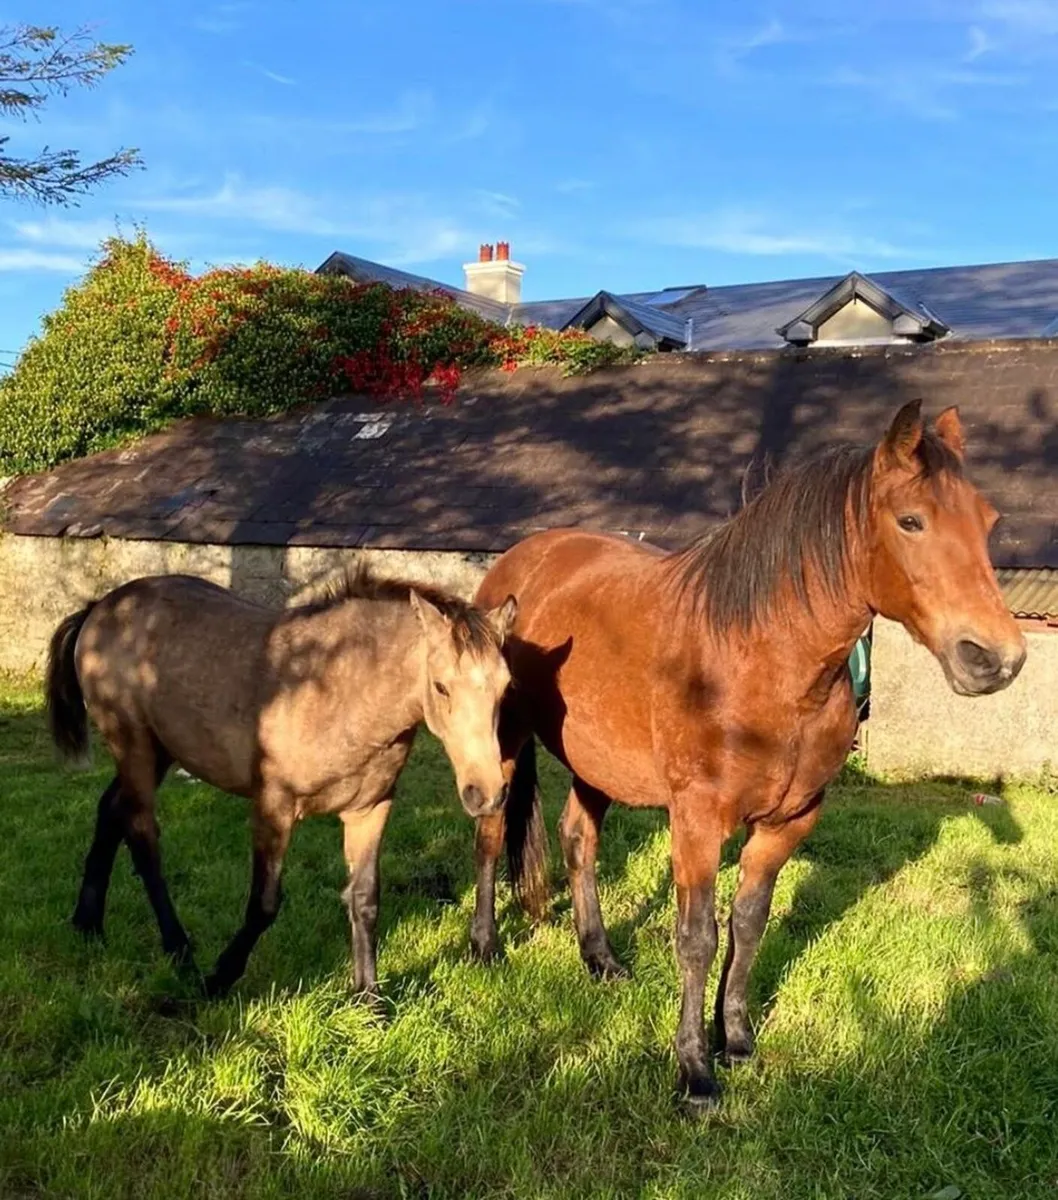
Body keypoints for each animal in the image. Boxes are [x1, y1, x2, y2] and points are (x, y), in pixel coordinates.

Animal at [46, 568, 516, 1000]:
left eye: (505, 687)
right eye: (441, 687)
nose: (487, 793)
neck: (338, 691)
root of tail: (99, 607)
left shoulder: (370, 809)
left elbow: (365, 898)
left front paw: (369, 998)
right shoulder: (273, 807)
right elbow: (264, 904)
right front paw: (218, 979)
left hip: (159, 752)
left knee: (111, 810)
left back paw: (87, 923)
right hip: (134, 747)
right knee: (142, 835)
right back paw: (178, 950)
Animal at [470, 401, 1026, 1113]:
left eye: (988, 521)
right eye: (911, 520)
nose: (996, 659)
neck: (761, 659)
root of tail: (517, 562)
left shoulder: (789, 822)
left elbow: (749, 925)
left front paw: (734, 1040)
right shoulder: (697, 822)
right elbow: (698, 939)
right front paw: (694, 1073)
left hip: (597, 763)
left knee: (577, 840)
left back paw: (602, 960)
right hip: (504, 744)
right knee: (490, 836)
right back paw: (486, 949)